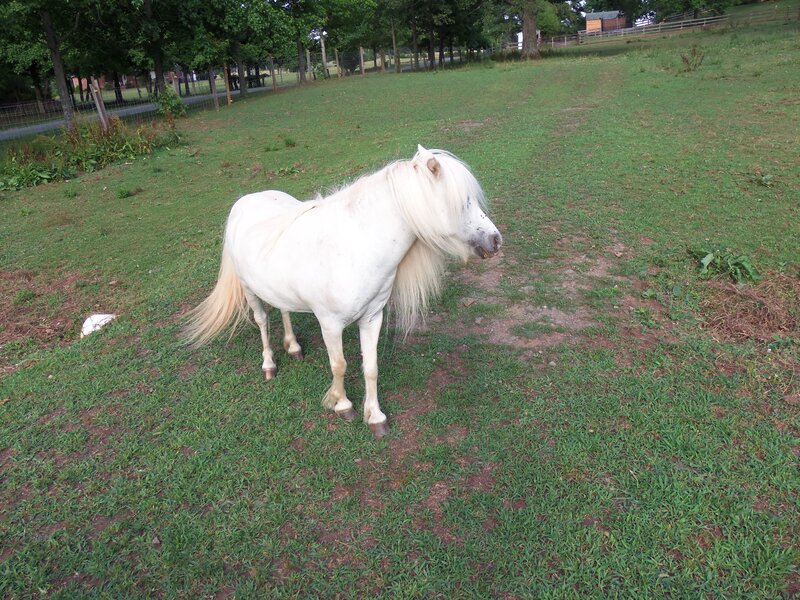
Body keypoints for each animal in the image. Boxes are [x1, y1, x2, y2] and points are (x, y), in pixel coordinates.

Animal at [183, 145, 502, 438]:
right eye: (463, 202)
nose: (496, 240)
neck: (354, 245)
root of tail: (243, 202)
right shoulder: (330, 323)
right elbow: (339, 365)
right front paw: (342, 405)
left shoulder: (372, 318)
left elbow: (370, 367)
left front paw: (375, 417)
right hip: (249, 290)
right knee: (261, 321)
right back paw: (269, 365)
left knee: (284, 309)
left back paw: (294, 347)